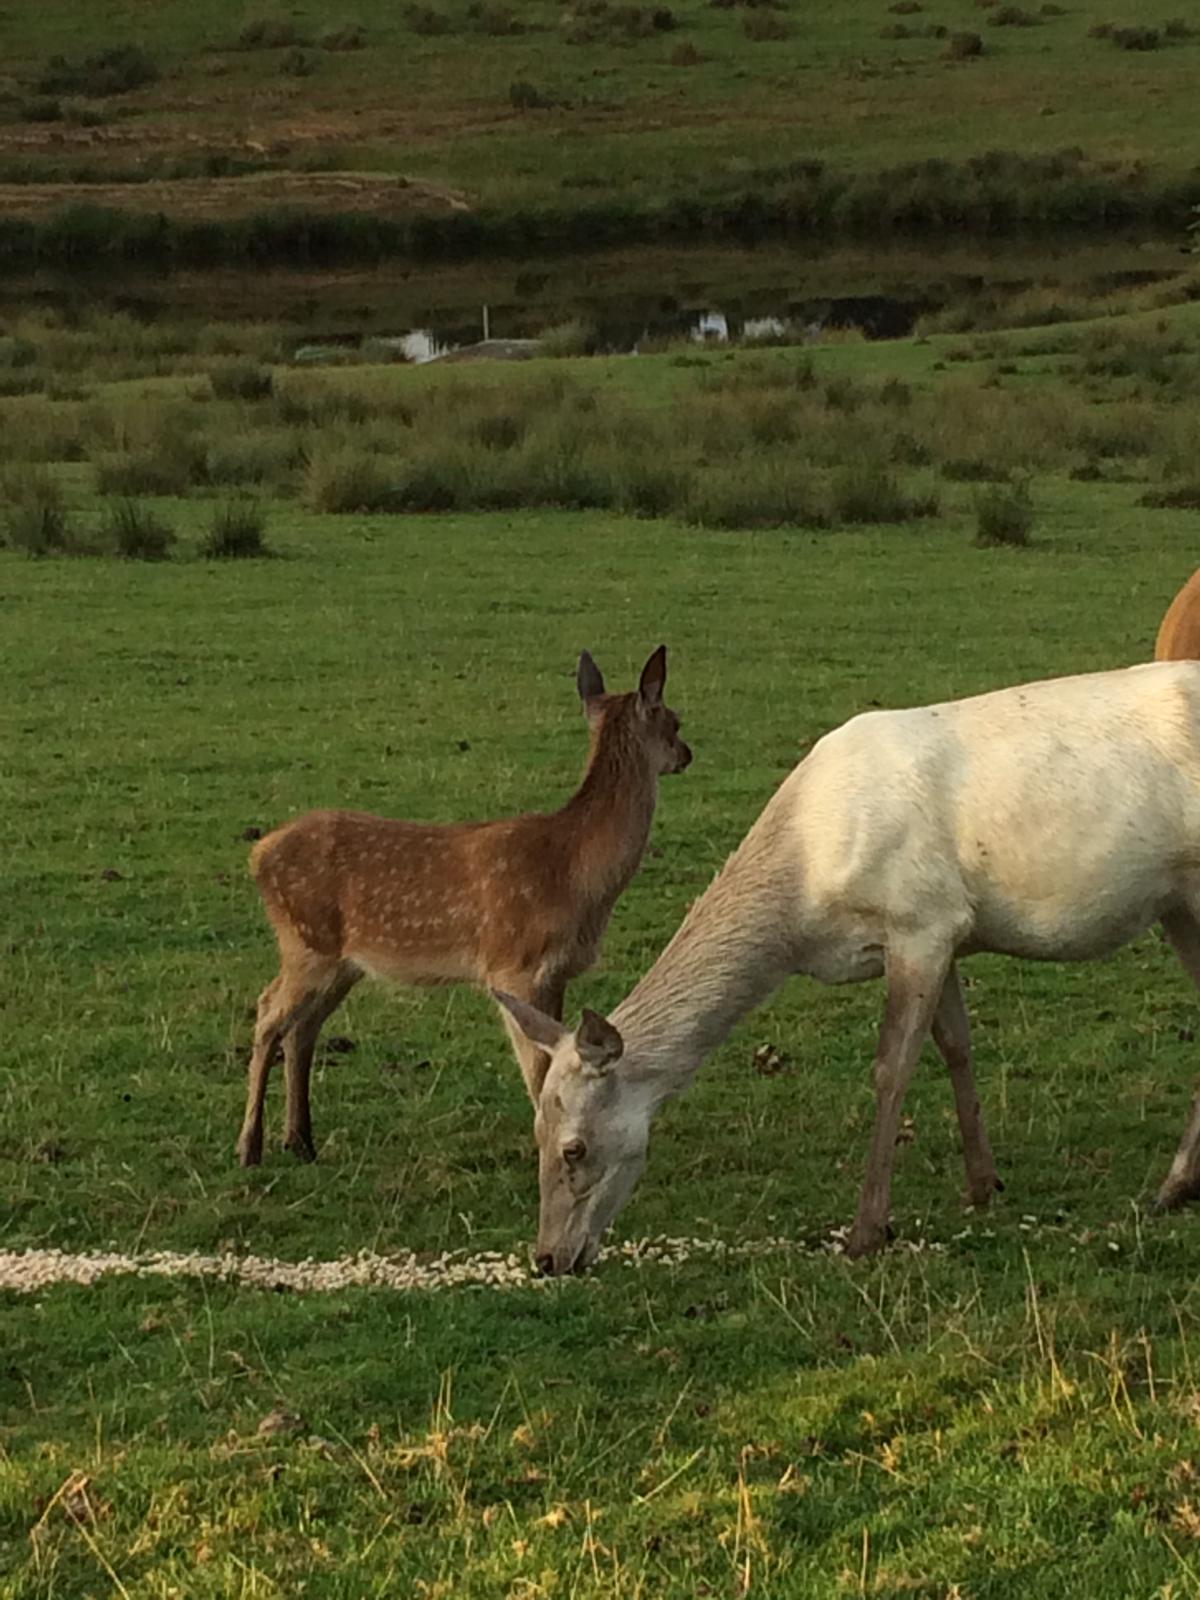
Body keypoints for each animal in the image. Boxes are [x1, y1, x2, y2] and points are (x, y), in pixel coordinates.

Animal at [236, 647, 691, 1168]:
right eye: (675, 719)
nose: (686, 754)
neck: (574, 873)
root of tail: (257, 855)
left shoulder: (555, 973)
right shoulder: (513, 966)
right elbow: (539, 1070)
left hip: (341, 963)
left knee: (302, 1028)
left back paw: (300, 1141)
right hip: (306, 944)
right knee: (268, 1012)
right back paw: (250, 1146)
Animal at [499, 659, 1200, 1273]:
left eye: (574, 1148)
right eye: (534, 1131)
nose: (548, 1258)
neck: (806, 896)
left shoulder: (919, 920)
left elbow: (892, 1068)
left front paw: (867, 1229)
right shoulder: (943, 928)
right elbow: (957, 1045)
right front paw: (982, 1183)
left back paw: (1170, 1185)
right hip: (1177, 906)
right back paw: (1175, 1188)